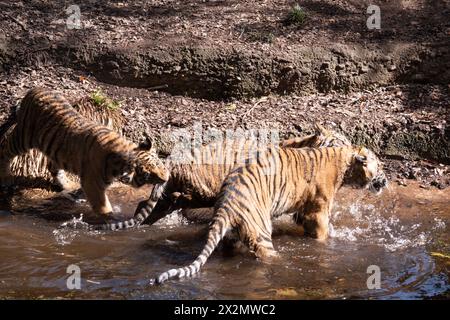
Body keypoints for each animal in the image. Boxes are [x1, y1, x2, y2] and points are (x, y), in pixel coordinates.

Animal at [0, 88, 170, 215]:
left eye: (159, 163)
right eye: (148, 174)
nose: (166, 178)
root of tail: (36, 89)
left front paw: (77, 196)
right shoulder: (92, 183)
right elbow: (103, 207)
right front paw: (110, 219)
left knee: (52, 166)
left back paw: (67, 185)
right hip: (23, 137)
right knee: (5, 149)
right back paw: (6, 177)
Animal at [67, 122, 354, 230]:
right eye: (341, 142)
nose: (354, 153)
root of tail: (172, 161)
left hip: (170, 196)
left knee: (149, 206)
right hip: (204, 189)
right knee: (181, 199)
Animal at [155, 145, 386, 282]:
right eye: (381, 165)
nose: (385, 180)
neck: (346, 163)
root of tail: (226, 204)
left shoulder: (303, 211)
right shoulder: (318, 211)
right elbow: (323, 234)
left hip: (232, 237)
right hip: (261, 232)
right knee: (267, 255)